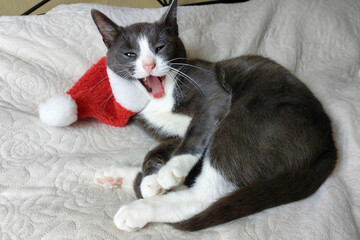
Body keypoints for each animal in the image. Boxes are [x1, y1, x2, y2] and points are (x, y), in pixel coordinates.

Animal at [90, 0, 338, 232]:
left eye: (160, 47)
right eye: (130, 54)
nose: (149, 65)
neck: (160, 98)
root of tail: (328, 143)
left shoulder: (213, 92)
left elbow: (197, 130)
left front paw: (169, 171)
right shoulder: (166, 133)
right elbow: (162, 147)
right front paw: (152, 180)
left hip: (247, 122)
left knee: (204, 196)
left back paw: (135, 210)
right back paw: (118, 175)